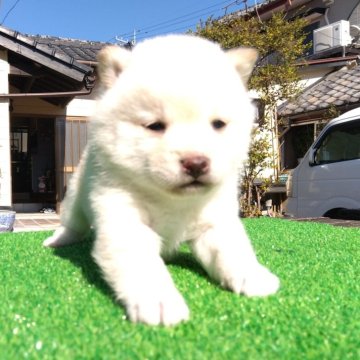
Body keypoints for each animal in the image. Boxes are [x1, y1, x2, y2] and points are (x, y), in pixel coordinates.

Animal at [43, 35, 280, 324]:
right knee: (73, 224)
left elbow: (232, 250)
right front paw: (159, 300)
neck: (171, 200)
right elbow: (144, 265)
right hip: (76, 199)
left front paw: (252, 275)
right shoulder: (125, 217)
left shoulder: (214, 221)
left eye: (218, 124)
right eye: (155, 126)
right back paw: (58, 239)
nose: (196, 162)